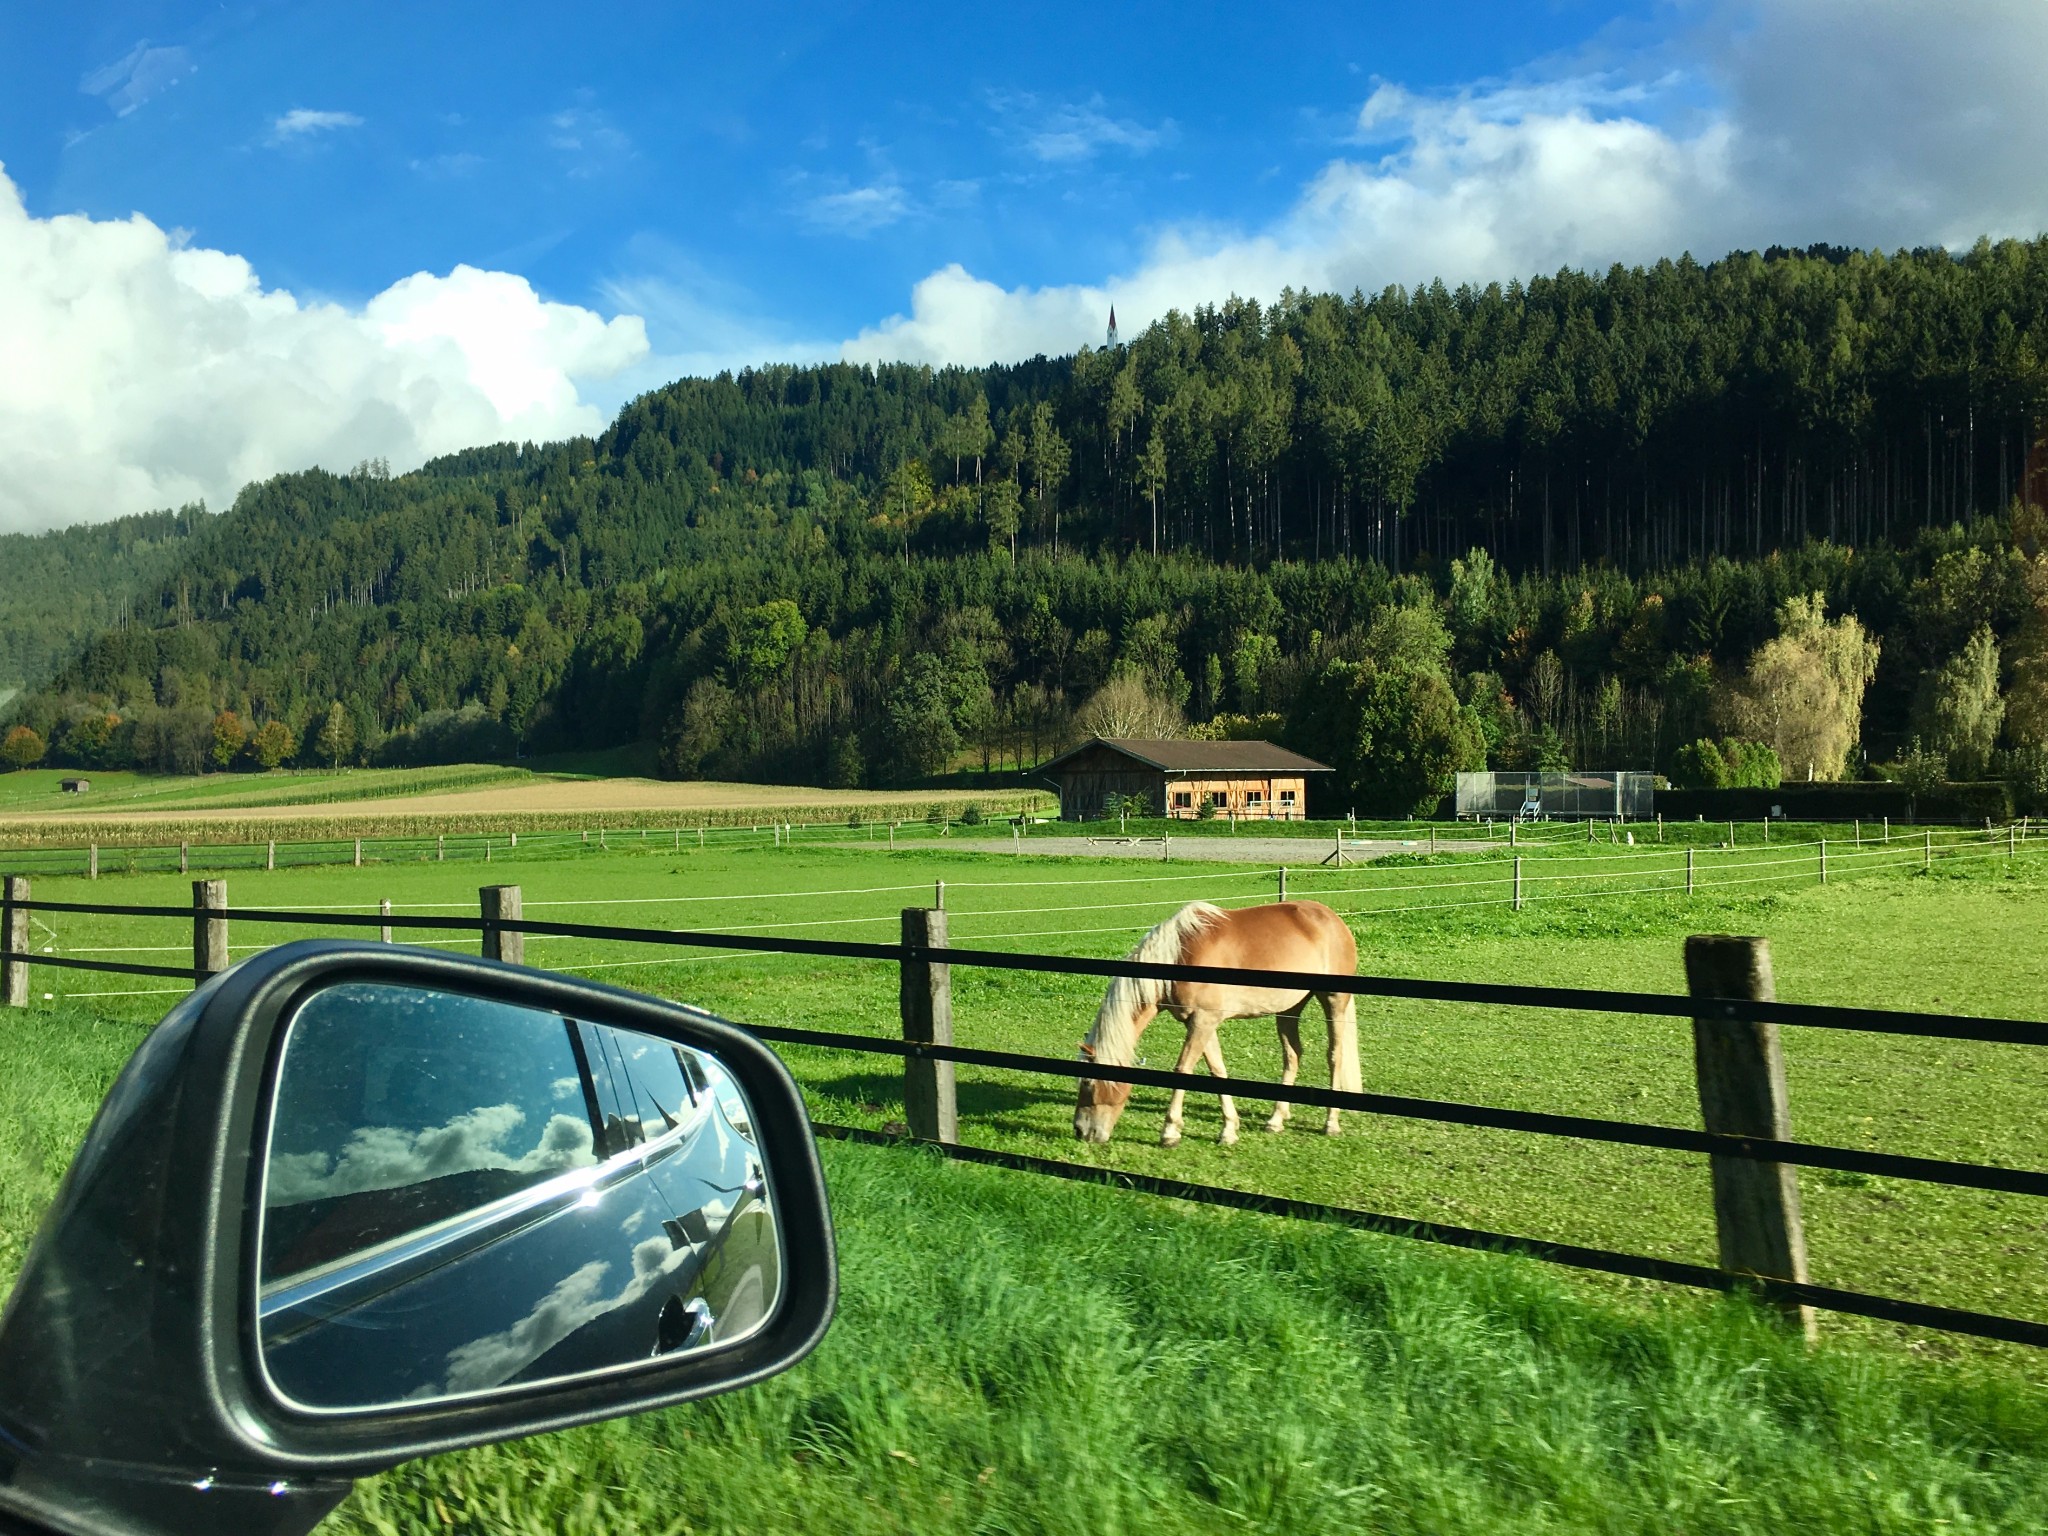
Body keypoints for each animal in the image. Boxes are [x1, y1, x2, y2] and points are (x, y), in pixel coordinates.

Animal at [1073, 901, 1359, 1146]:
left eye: (1088, 1083)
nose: (1080, 1131)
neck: (1180, 956)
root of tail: (1331, 918)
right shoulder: (1200, 1023)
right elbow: (1217, 1070)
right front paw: (1229, 1130)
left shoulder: (1203, 1021)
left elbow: (1183, 1069)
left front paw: (1170, 1132)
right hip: (1290, 1009)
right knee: (1292, 1055)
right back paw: (1276, 1119)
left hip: (1334, 1000)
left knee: (1334, 1055)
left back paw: (1331, 1123)